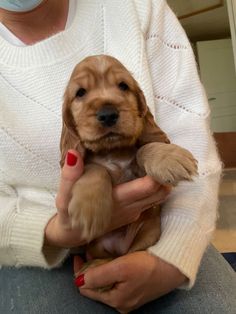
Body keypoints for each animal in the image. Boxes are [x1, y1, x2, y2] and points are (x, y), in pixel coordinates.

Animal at [60, 54, 197, 280]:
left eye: (123, 86)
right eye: (80, 92)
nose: (108, 114)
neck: (112, 150)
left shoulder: (137, 170)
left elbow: (143, 149)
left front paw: (170, 158)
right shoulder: (82, 164)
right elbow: (95, 169)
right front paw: (89, 207)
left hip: (149, 232)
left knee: (124, 256)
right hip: (96, 245)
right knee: (110, 257)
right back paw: (92, 266)